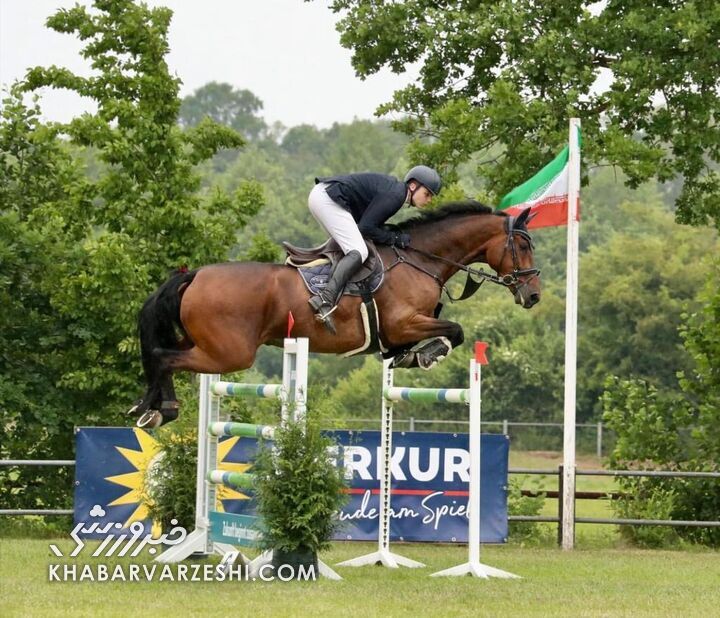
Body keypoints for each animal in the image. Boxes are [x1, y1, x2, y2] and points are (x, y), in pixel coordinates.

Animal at [131, 200, 540, 426]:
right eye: (522, 245)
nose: (533, 295)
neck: (419, 258)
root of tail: (195, 274)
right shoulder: (403, 323)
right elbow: (454, 330)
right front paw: (425, 356)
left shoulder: (402, 329)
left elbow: (441, 332)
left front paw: (408, 356)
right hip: (229, 353)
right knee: (164, 358)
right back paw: (161, 410)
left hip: (206, 344)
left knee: (162, 354)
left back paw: (150, 407)